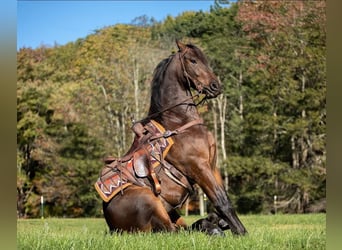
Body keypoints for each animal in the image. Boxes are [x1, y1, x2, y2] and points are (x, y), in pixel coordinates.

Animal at [102, 40, 248, 235]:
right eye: (193, 60)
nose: (216, 86)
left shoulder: (212, 165)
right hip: (150, 200)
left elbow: (224, 199)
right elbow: (221, 202)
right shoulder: (199, 167)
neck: (179, 120)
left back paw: (213, 224)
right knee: (171, 230)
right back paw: (213, 228)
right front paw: (241, 233)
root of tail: (111, 224)